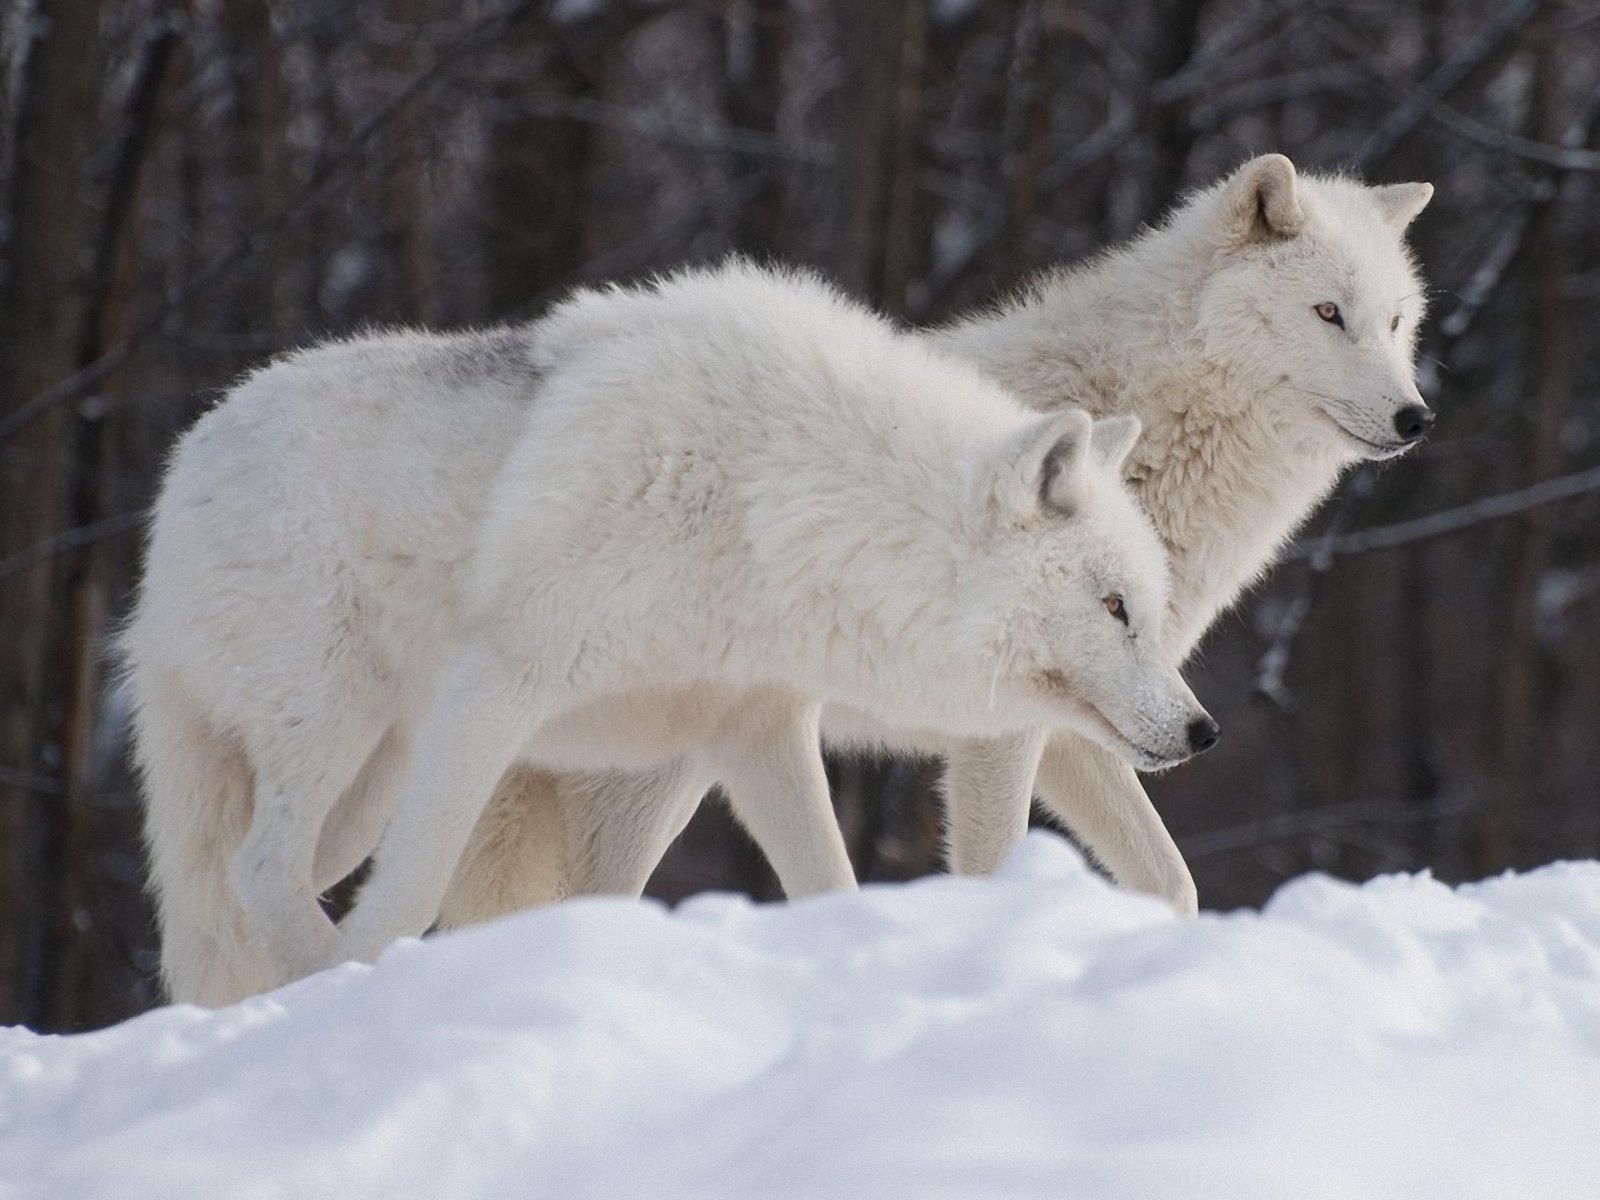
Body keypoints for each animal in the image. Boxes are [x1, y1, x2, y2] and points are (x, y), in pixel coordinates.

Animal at [124, 262, 1216, 1004]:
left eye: (1147, 608)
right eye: (1114, 608)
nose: (1203, 731)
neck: (773, 496)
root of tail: (186, 461)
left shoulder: (754, 730)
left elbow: (828, 883)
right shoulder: (497, 688)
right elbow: (412, 891)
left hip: (362, 784)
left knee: (243, 886)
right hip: (338, 734)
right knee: (261, 873)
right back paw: (318, 982)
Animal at [444, 152, 1433, 921]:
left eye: (1395, 322)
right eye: (1328, 314)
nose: (1415, 417)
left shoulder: (1091, 729)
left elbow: (1174, 884)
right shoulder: (1003, 735)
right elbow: (994, 867)